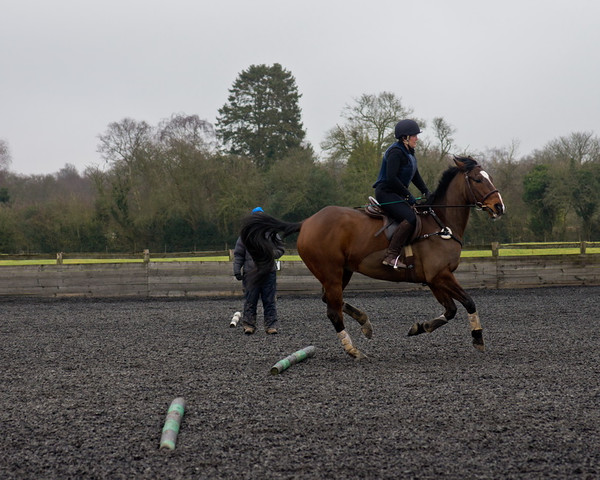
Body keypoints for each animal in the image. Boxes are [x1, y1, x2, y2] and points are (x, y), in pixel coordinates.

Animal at [241, 156, 504, 358]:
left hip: (342, 272)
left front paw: (420, 327)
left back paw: (364, 323)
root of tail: (306, 222)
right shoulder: (441, 276)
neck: (441, 222)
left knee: (330, 300)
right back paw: (353, 350)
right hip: (331, 272)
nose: (499, 207)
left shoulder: (434, 279)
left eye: (489, 176)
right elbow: (468, 302)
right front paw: (477, 338)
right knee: (333, 311)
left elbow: (450, 310)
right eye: (478, 179)